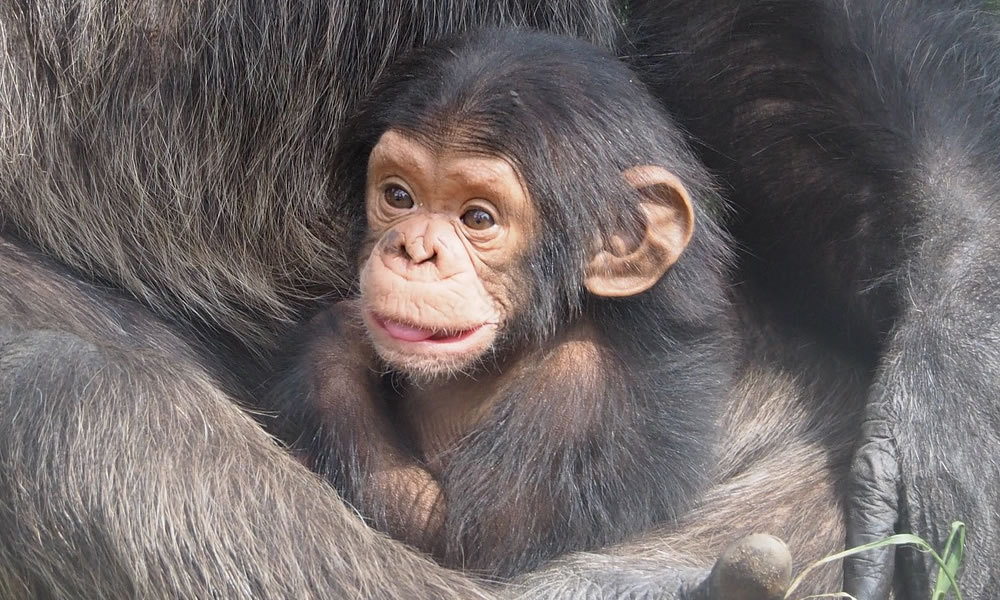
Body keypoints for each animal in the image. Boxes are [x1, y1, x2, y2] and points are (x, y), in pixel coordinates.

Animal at [0, 1, 996, 600]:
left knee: (61, 396)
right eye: (398, 195)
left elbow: (462, 534)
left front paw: (958, 370)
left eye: (479, 217)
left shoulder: (571, 398)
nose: (412, 248)